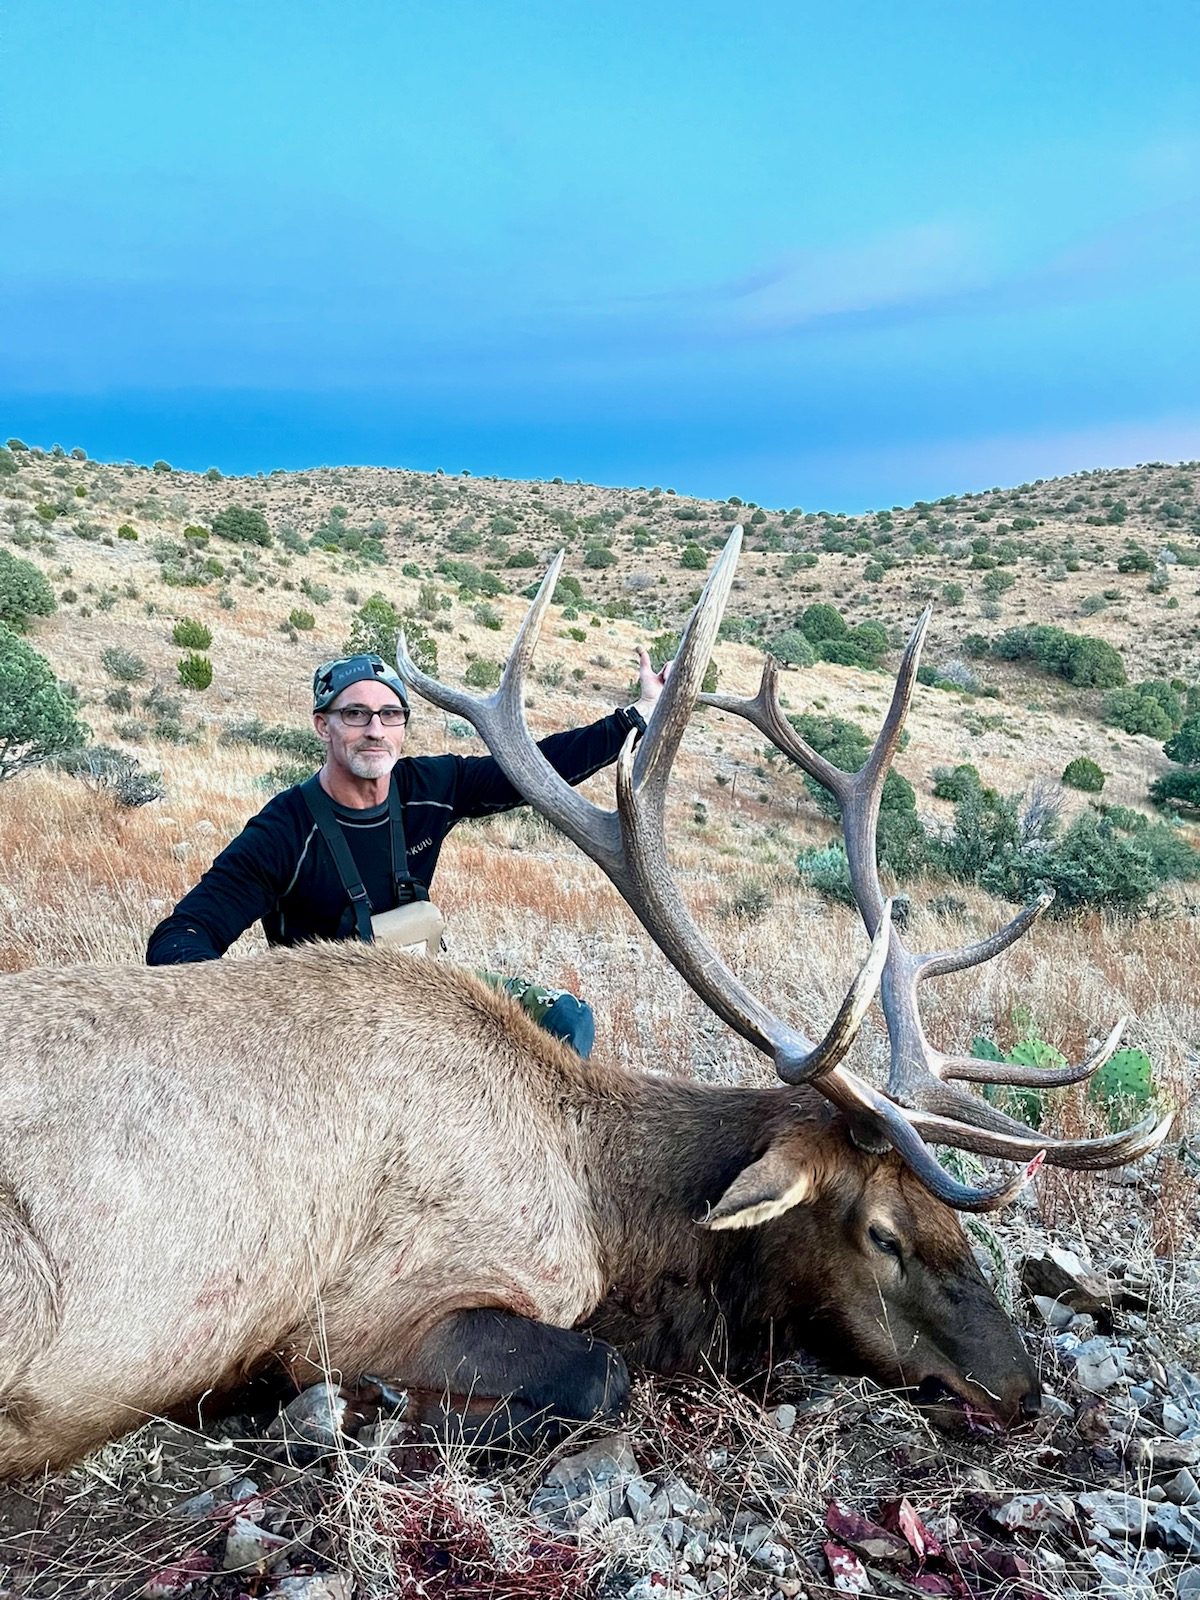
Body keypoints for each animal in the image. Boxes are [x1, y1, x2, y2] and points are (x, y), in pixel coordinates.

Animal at [0, 527, 1169, 1478]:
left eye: (950, 1218)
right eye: (882, 1231)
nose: (1020, 1388)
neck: (607, 1208)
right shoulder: (371, 1307)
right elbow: (599, 1376)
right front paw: (345, 1419)